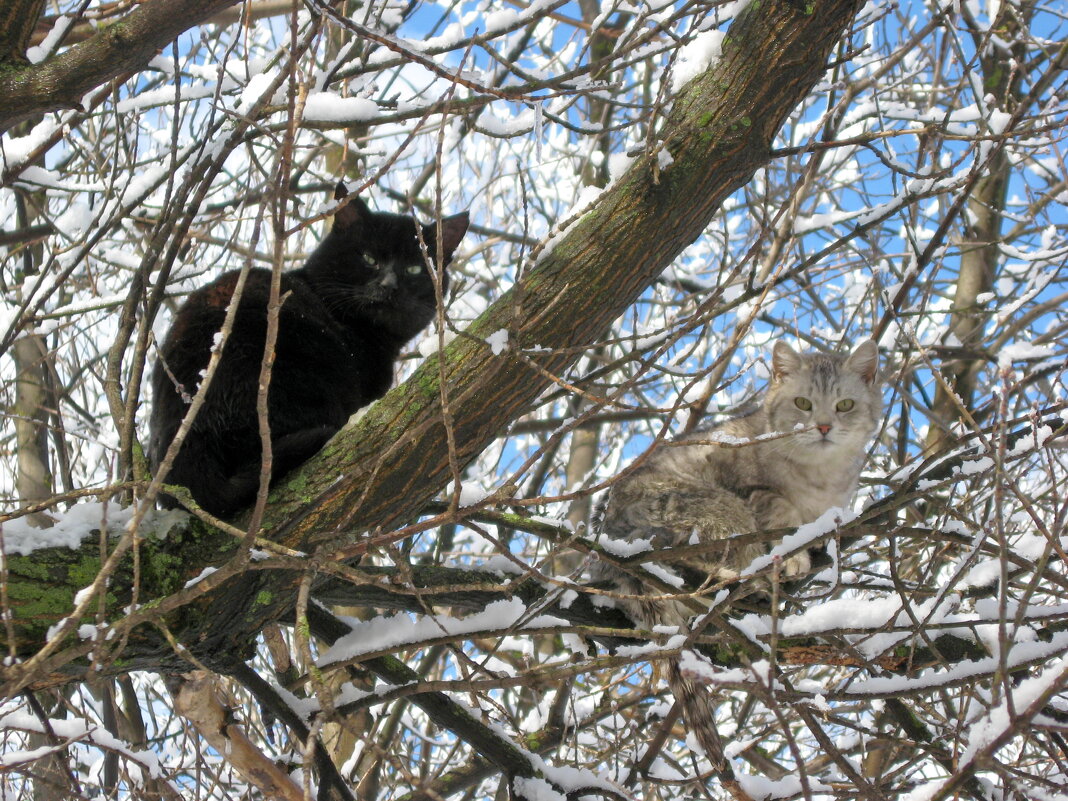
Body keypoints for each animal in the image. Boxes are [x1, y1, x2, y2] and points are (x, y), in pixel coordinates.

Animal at [589, 341, 880, 773]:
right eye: (803, 403)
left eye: (845, 405)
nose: (824, 427)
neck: (819, 475)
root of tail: (614, 550)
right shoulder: (751, 490)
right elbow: (779, 512)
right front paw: (792, 555)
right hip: (712, 508)